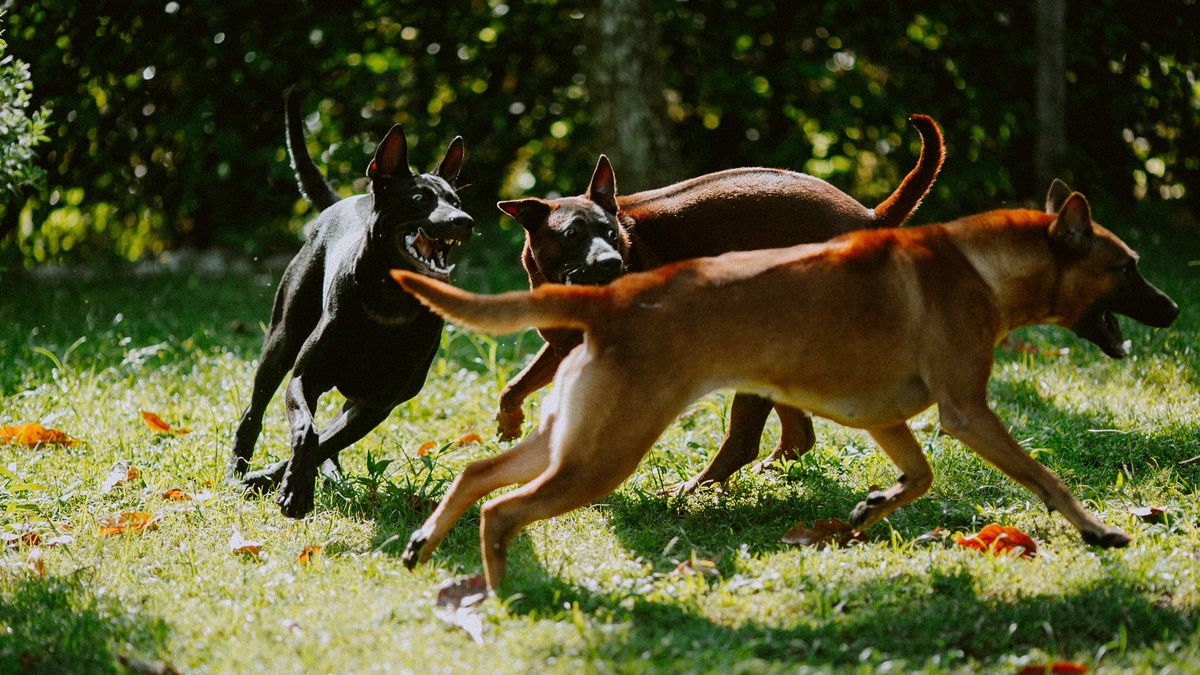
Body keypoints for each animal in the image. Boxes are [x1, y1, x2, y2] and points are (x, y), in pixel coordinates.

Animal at [229, 91, 472, 514]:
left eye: (456, 199)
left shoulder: (376, 403)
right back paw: (238, 469)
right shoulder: (303, 378)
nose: (464, 220)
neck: (390, 303)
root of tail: (343, 201)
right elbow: (307, 431)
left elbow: (323, 439)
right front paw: (289, 488)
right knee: (254, 410)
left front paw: (286, 484)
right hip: (281, 338)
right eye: (418, 198)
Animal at [393, 178, 1180, 583]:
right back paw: (504, 589)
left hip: (580, 435)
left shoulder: (887, 416)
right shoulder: (967, 410)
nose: (1172, 309)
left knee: (479, 473)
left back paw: (426, 543)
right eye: (1128, 266)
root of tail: (609, 298)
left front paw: (869, 507)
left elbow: (918, 477)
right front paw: (1097, 529)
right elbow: (1046, 477)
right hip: (606, 449)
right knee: (505, 508)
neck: (975, 263)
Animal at [492, 117, 940, 487]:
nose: (612, 262)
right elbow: (514, 386)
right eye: (572, 234)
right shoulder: (562, 346)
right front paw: (509, 424)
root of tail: (868, 217)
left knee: (743, 442)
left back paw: (691, 489)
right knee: (798, 435)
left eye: (612, 233)